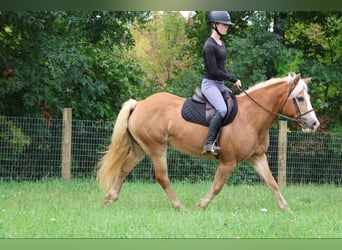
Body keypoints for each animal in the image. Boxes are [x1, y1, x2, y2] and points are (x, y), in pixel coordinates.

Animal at [97, 73, 320, 211]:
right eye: (300, 98)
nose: (314, 123)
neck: (251, 115)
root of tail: (140, 103)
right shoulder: (228, 162)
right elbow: (217, 186)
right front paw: (201, 205)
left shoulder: (257, 158)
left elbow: (272, 183)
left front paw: (286, 209)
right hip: (156, 148)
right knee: (162, 177)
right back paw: (180, 206)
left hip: (140, 149)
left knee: (124, 168)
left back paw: (110, 198)